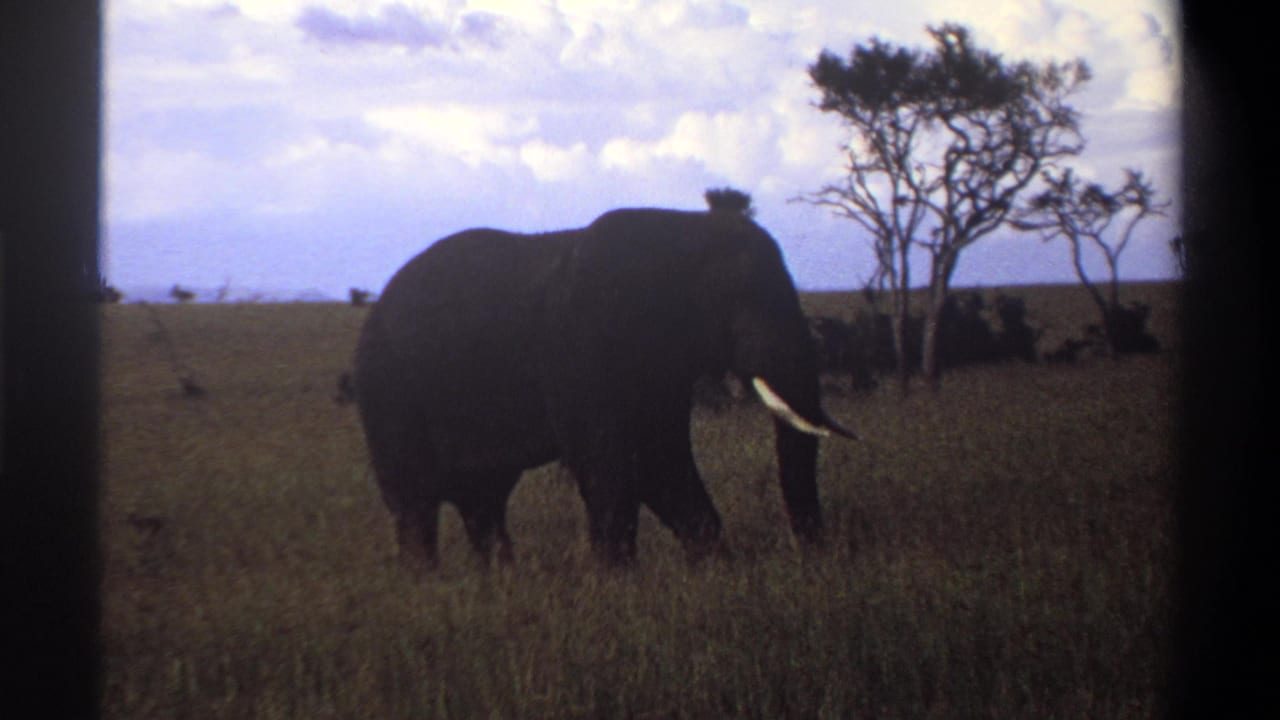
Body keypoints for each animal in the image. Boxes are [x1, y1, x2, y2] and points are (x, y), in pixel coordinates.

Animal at [353, 207, 855, 569]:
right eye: (737, 302)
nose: (812, 555)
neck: (680, 229)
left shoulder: (658, 366)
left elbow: (659, 460)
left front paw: (714, 570)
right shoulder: (577, 345)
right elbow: (612, 461)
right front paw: (617, 584)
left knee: (484, 500)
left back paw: (497, 581)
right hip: (387, 390)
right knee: (415, 501)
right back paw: (430, 586)